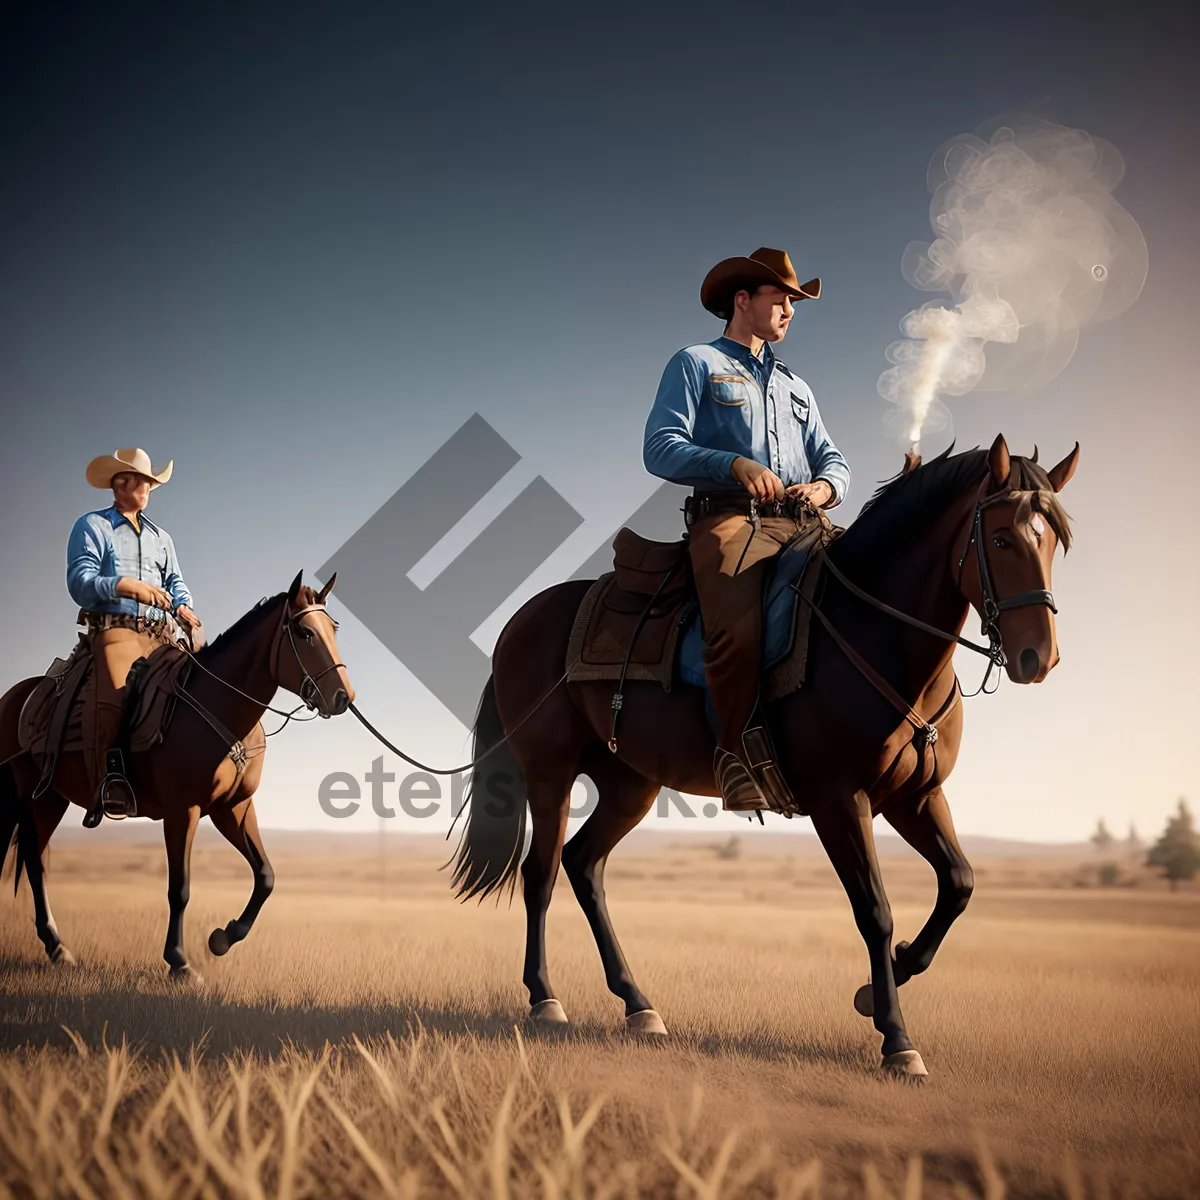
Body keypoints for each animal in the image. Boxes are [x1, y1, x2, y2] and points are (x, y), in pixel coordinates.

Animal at [0, 576, 352, 979]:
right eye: (305, 632)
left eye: (333, 629)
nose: (343, 697)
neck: (217, 708)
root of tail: (16, 696)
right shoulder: (183, 810)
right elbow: (179, 888)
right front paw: (179, 961)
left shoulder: (233, 808)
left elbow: (265, 875)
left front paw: (223, 938)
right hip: (30, 797)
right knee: (33, 860)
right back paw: (56, 946)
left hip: (52, 798)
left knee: (36, 861)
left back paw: (57, 947)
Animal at [448, 436, 1080, 1075]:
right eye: (1000, 540)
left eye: (1054, 540)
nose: (1038, 657)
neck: (875, 634)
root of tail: (520, 622)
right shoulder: (837, 799)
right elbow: (875, 911)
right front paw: (897, 1039)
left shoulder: (916, 796)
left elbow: (958, 884)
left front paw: (880, 988)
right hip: (549, 773)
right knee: (541, 873)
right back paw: (545, 1000)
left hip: (630, 784)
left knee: (584, 865)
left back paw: (638, 1005)